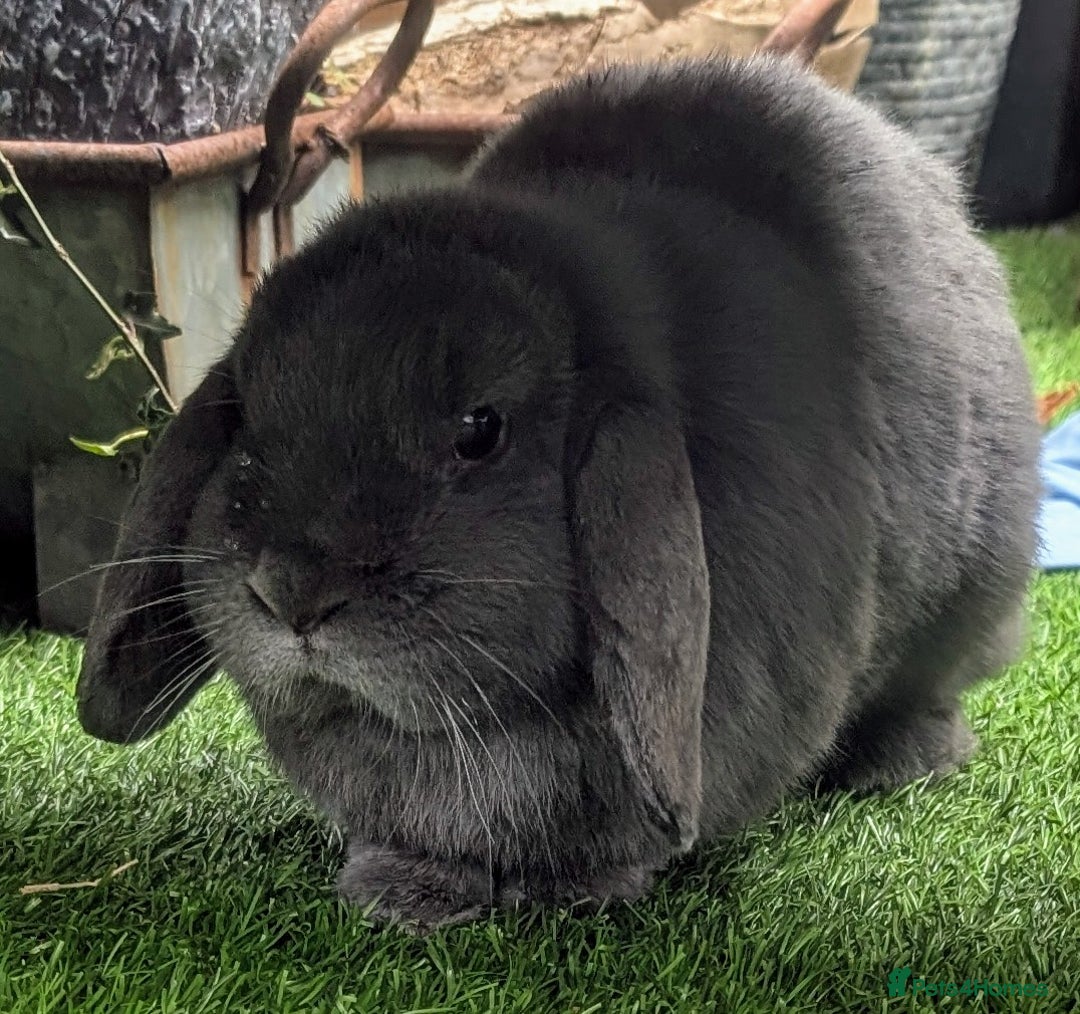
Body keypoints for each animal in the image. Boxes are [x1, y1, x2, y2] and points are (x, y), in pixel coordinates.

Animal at [75, 52, 1042, 930]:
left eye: (480, 430)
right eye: (247, 415)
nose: (291, 594)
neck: (469, 737)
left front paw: (569, 894)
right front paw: (402, 895)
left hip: (968, 603)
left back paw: (897, 762)